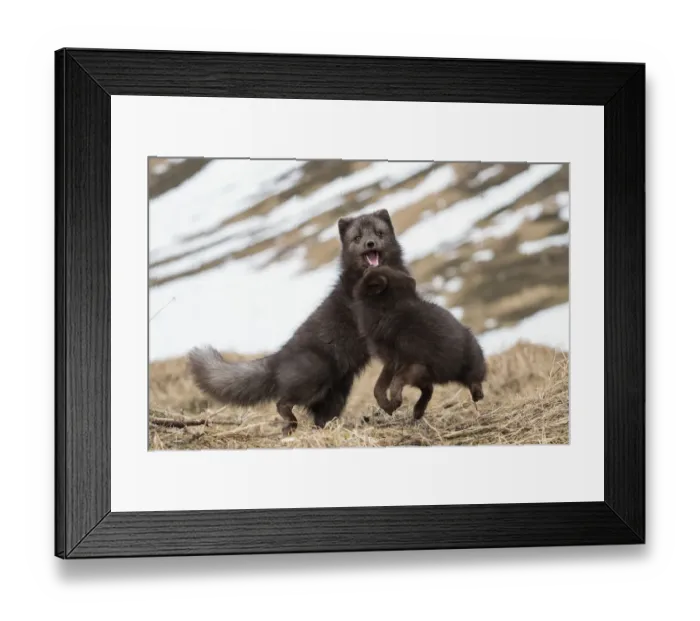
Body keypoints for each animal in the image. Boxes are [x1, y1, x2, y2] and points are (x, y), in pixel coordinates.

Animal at [187, 209, 410, 435]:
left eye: (379, 233)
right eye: (357, 238)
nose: (370, 243)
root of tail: (279, 357)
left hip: (337, 393)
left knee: (318, 417)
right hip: (316, 376)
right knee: (282, 402)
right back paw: (291, 425)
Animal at [352, 265, 487, 420]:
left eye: (372, 272)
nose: (369, 266)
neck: (392, 307)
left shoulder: (411, 363)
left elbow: (394, 383)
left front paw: (394, 402)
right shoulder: (392, 362)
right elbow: (378, 387)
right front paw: (388, 406)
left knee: (472, 382)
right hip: (423, 375)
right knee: (429, 389)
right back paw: (418, 411)